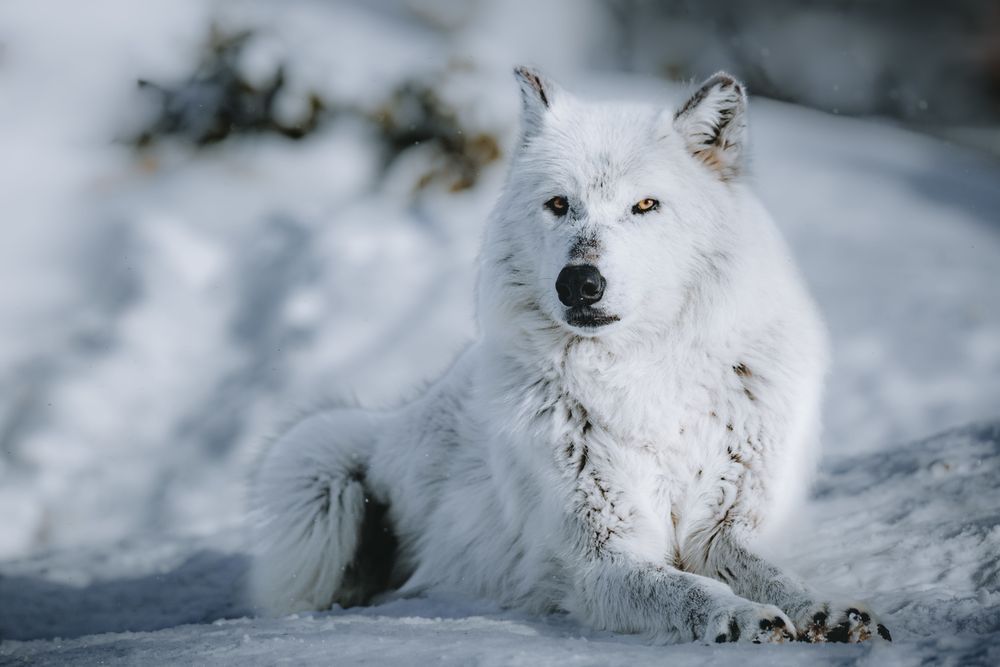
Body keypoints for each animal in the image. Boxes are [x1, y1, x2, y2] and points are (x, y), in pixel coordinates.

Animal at [248, 67, 891, 644]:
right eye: (558, 204)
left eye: (645, 205)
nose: (579, 282)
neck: (646, 378)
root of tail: (389, 428)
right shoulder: (599, 560)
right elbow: (684, 589)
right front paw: (740, 617)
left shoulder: (725, 528)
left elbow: (773, 575)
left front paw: (826, 610)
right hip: (318, 479)